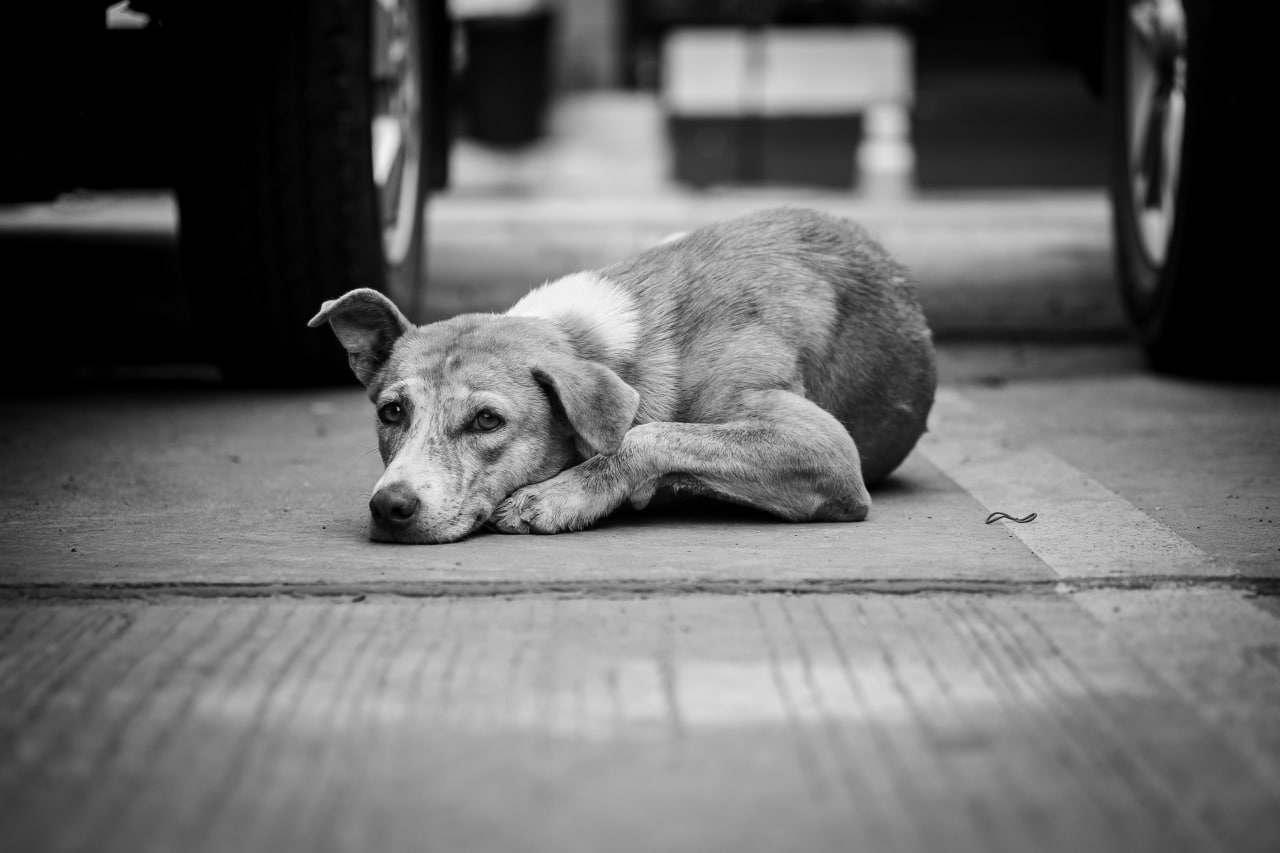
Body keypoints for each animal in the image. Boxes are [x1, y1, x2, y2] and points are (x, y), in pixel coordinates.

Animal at [307, 206, 931, 540]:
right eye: (392, 412)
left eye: (487, 421)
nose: (390, 507)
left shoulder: (828, 450)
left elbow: (646, 434)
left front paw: (561, 494)